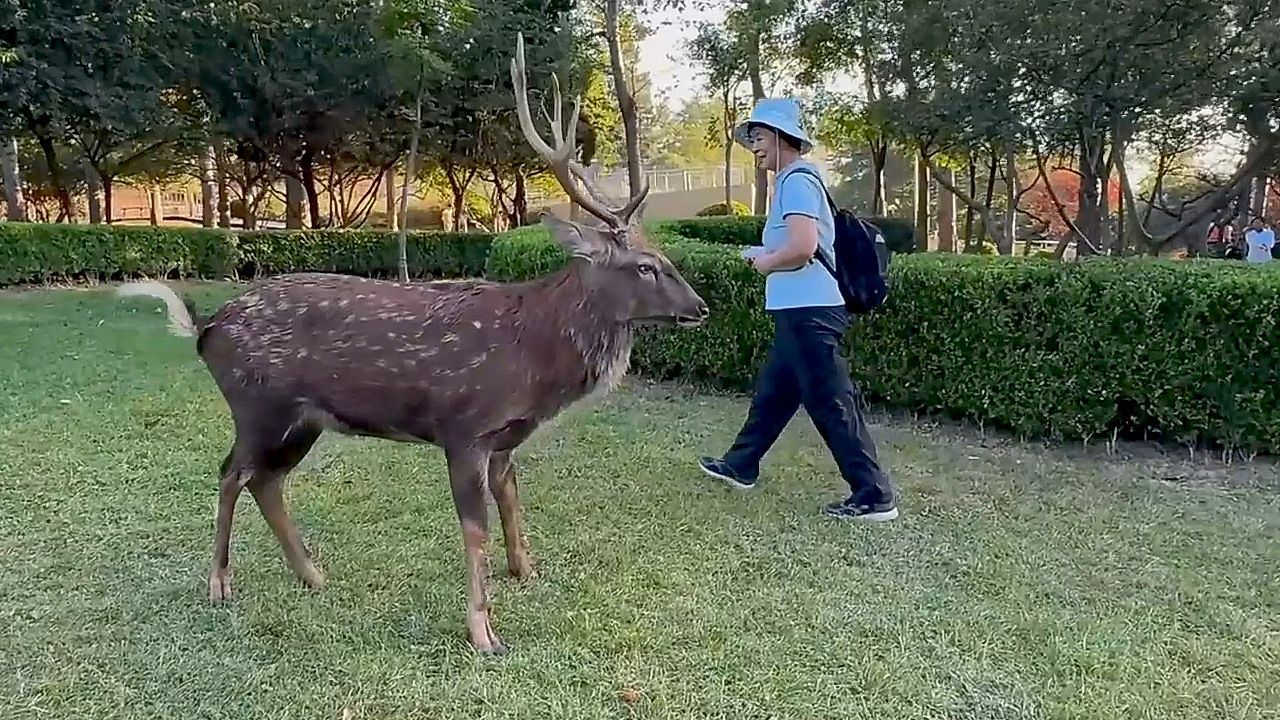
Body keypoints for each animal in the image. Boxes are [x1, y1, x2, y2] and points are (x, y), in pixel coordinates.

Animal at [115, 32, 709, 655]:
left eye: (663, 254)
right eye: (645, 266)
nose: (701, 307)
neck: (536, 362)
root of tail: (205, 330)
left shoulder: (505, 440)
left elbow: (511, 502)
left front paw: (526, 570)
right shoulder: (464, 427)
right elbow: (474, 529)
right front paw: (484, 631)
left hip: (302, 419)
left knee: (267, 482)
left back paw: (313, 574)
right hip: (257, 404)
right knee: (232, 473)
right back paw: (219, 584)